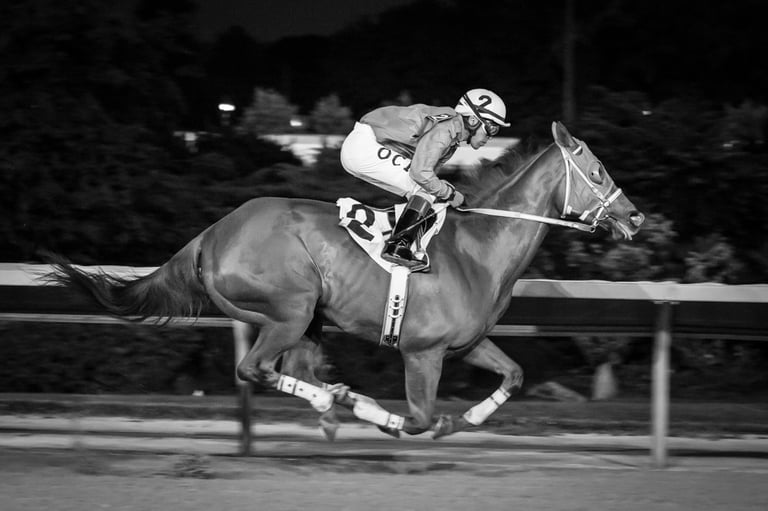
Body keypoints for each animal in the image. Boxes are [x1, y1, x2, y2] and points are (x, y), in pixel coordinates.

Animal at [45, 121, 644, 440]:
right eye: (597, 173)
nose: (636, 218)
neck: (479, 246)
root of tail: (211, 234)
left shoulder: (466, 343)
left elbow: (515, 374)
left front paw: (471, 415)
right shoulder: (422, 352)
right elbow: (420, 418)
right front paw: (394, 418)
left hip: (307, 319)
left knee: (288, 370)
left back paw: (331, 404)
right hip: (289, 307)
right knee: (254, 368)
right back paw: (339, 402)